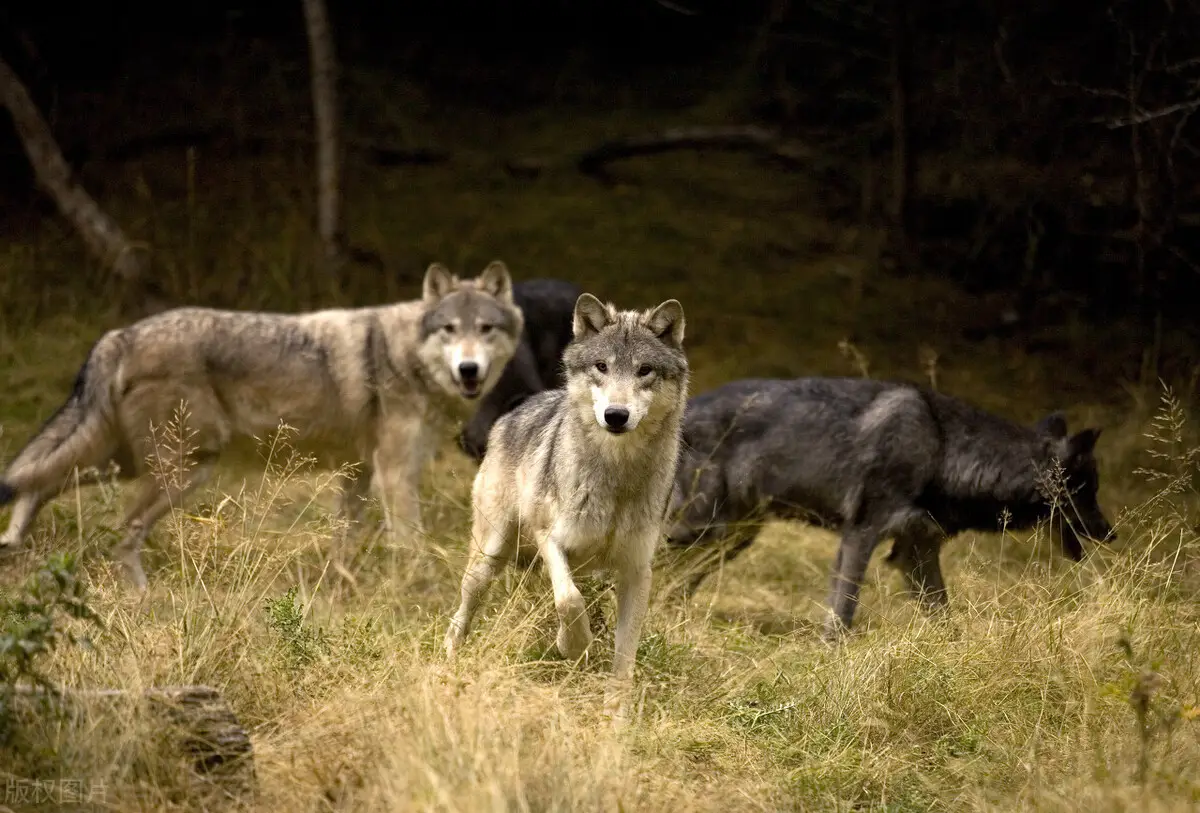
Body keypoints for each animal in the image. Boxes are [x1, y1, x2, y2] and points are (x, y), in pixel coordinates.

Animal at [0, 261, 524, 589]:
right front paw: (420, 589)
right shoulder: (395, 474)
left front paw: (344, 588)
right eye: (450, 330)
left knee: (38, 482)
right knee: (118, 529)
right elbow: (411, 543)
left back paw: (12, 543)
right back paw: (142, 596)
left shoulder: (357, 472)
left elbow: (343, 543)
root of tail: (120, 334)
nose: (469, 370)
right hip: (181, 470)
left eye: (486, 330)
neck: (404, 356)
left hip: (127, 463)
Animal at [664, 377, 1115, 638]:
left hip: (731, 539)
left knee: (677, 583)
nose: (1111, 533)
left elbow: (944, 617)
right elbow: (843, 611)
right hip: (699, 529)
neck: (943, 449)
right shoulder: (861, 536)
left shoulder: (915, 552)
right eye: (1087, 491)